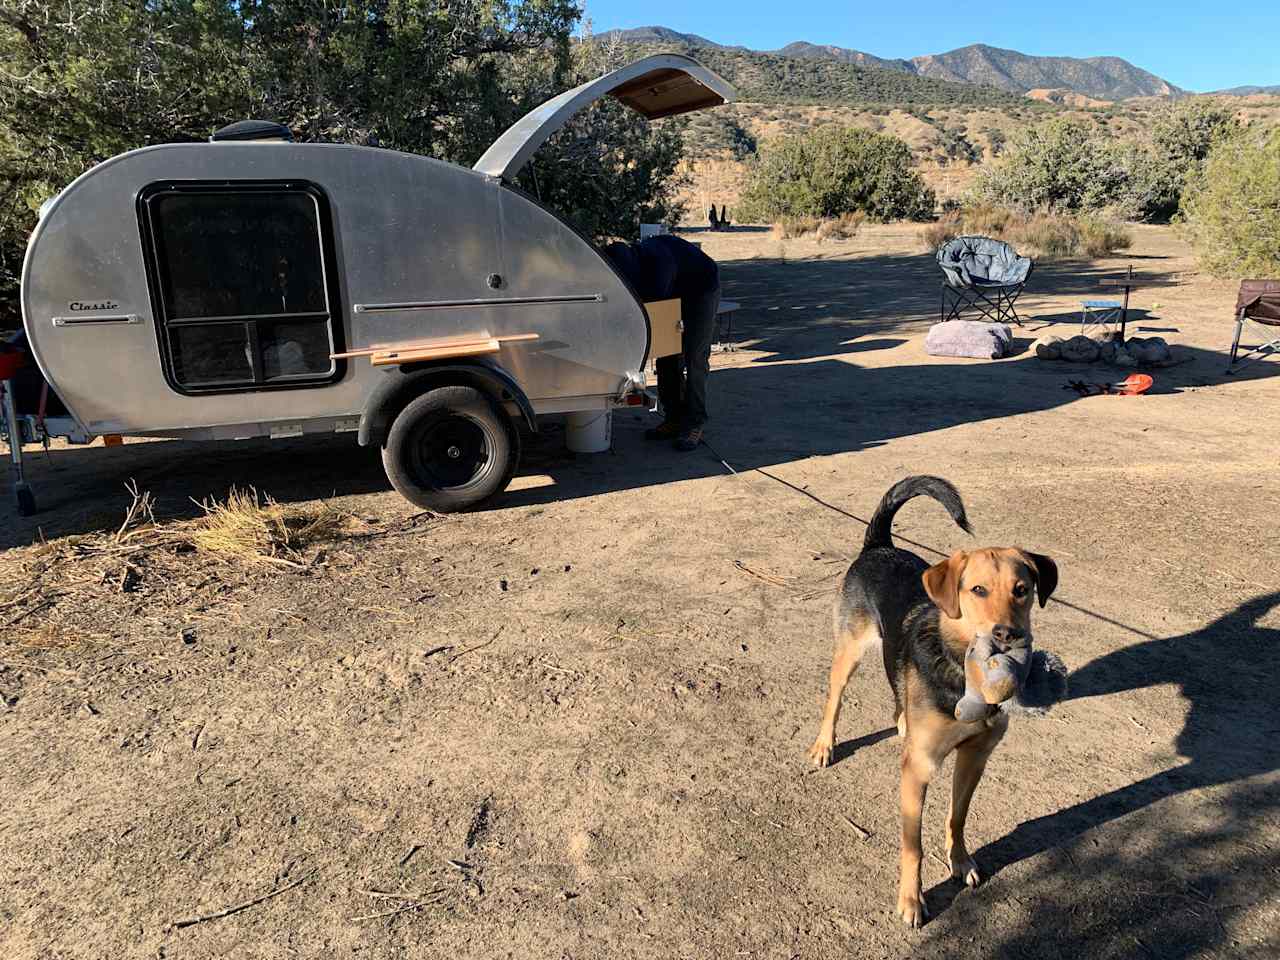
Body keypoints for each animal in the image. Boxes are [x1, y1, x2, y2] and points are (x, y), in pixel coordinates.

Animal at [803, 478, 1054, 926]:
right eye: (977, 590)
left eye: (1022, 591)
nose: (1006, 634)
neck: (964, 677)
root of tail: (879, 546)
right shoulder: (918, 769)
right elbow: (912, 846)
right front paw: (911, 900)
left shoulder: (975, 756)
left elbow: (958, 816)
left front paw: (961, 861)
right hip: (848, 653)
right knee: (834, 700)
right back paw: (824, 746)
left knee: (897, 693)